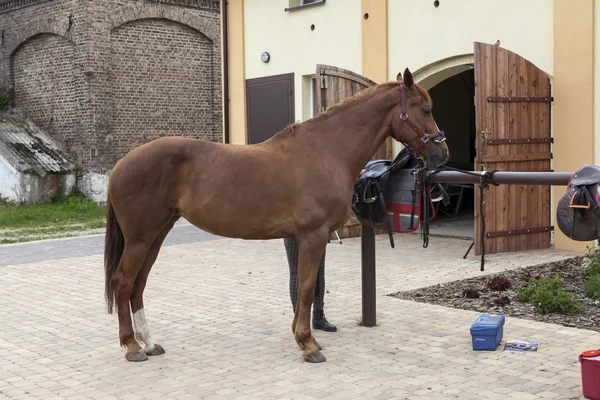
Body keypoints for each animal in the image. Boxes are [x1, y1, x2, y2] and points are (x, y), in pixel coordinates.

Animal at [104, 68, 450, 362]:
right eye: (426, 110)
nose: (442, 153)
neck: (326, 151)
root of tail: (121, 165)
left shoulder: (307, 237)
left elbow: (304, 286)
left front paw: (305, 337)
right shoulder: (313, 235)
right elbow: (307, 287)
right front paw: (308, 345)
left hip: (157, 234)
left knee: (138, 285)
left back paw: (150, 343)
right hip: (141, 238)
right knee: (123, 282)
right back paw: (132, 346)